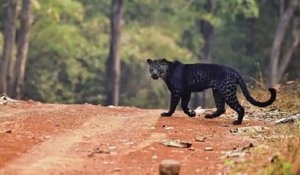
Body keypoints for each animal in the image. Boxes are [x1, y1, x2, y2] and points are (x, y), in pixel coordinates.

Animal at [146, 57, 276, 124]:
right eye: (151, 68)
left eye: (159, 68)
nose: (154, 74)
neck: (167, 72)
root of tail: (234, 71)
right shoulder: (186, 91)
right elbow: (184, 105)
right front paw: (192, 113)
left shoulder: (177, 91)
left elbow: (174, 104)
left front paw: (167, 114)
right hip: (217, 92)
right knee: (221, 108)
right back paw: (209, 116)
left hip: (227, 92)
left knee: (240, 108)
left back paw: (237, 122)